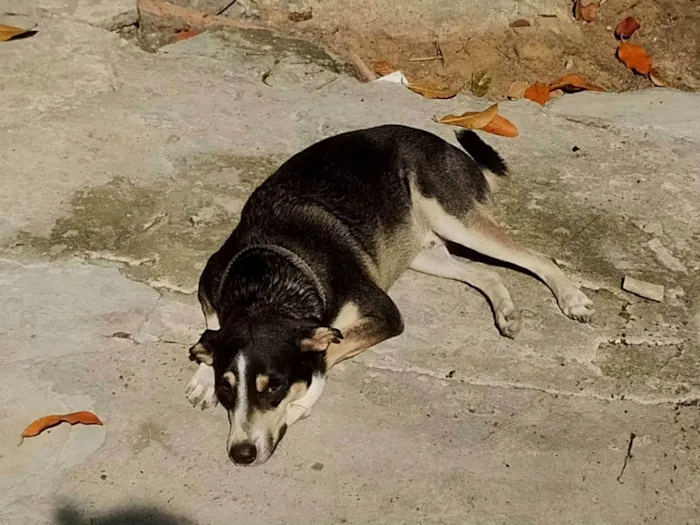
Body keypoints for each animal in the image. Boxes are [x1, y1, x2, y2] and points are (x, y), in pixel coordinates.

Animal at [183, 125, 592, 464]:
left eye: (276, 386)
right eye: (226, 389)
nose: (241, 454)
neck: (269, 284)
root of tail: (453, 151)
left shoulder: (383, 314)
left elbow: (326, 354)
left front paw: (304, 399)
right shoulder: (210, 281)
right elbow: (213, 326)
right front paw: (204, 371)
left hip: (455, 219)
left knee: (539, 258)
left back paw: (572, 299)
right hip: (424, 252)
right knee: (486, 273)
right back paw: (506, 312)